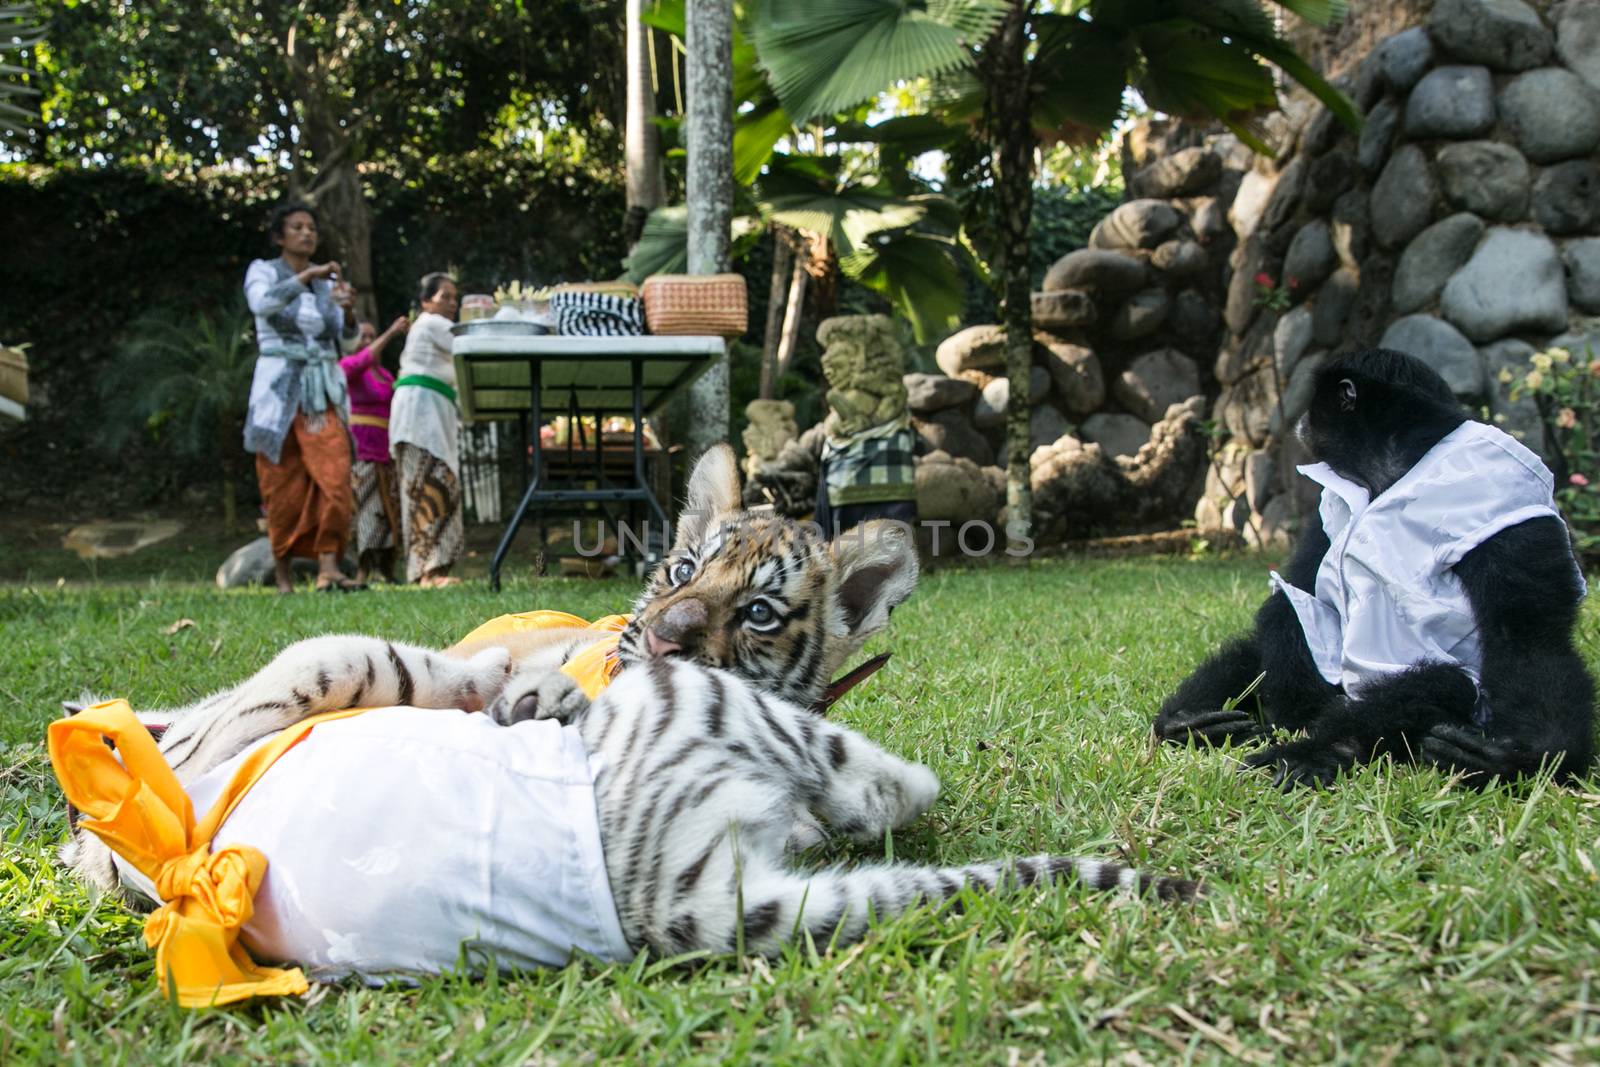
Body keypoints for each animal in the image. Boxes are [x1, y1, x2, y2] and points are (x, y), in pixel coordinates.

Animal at [1158, 347, 1593, 790]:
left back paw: (1322, 749)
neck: (1393, 470)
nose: (1301, 418)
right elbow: (1298, 593)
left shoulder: (1504, 503)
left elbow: (1527, 639)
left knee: (1446, 684)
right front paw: (1187, 716)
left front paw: (1527, 756)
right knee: (1290, 611)